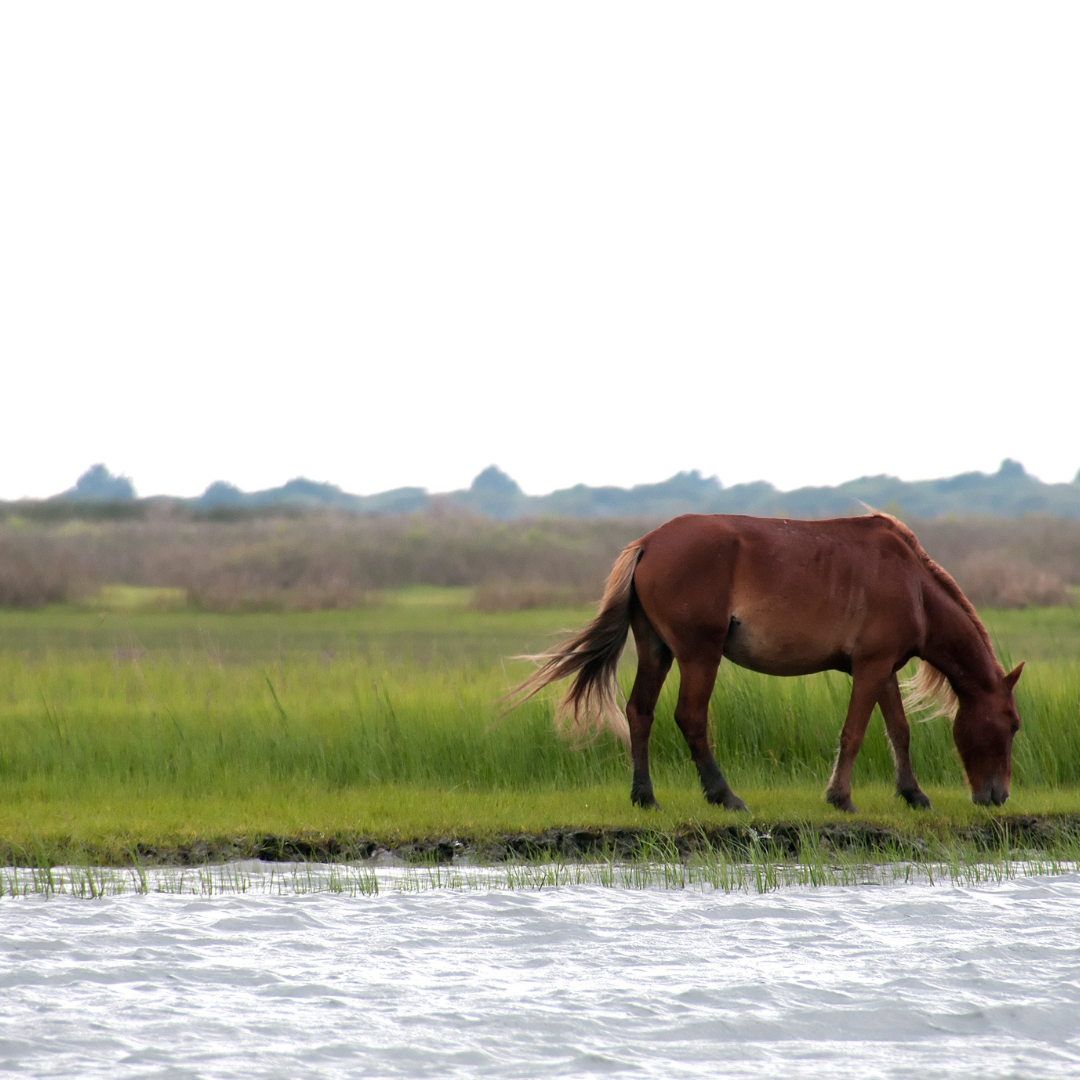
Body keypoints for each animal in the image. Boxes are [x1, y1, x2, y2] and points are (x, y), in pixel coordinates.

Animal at [509, 514, 1023, 812]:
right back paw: (723, 796)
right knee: (690, 717)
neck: (912, 582)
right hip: (700, 655)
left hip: (657, 650)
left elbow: (898, 730)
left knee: (640, 712)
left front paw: (912, 793)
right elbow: (854, 733)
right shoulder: (872, 667)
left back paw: (645, 797)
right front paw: (840, 798)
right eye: (1013, 724)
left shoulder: (881, 670)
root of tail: (650, 542)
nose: (997, 796)